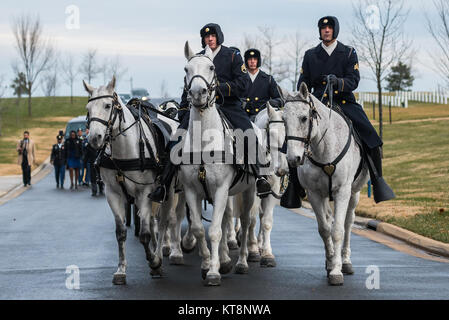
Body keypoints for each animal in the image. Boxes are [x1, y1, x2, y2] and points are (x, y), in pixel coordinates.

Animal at [83, 76, 174, 284]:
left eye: (108, 105)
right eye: (88, 109)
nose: (94, 139)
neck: (125, 150)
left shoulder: (145, 193)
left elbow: (145, 235)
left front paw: (154, 262)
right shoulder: (113, 194)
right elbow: (121, 233)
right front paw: (121, 270)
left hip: (169, 192)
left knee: (163, 222)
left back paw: (162, 252)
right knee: (153, 222)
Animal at [282, 83, 370, 284]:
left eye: (304, 118)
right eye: (283, 120)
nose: (293, 158)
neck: (324, 149)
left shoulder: (342, 192)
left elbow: (338, 230)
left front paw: (337, 270)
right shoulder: (314, 193)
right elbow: (324, 229)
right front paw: (330, 263)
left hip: (354, 193)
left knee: (348, 222)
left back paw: (345, 261)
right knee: (329, 221)